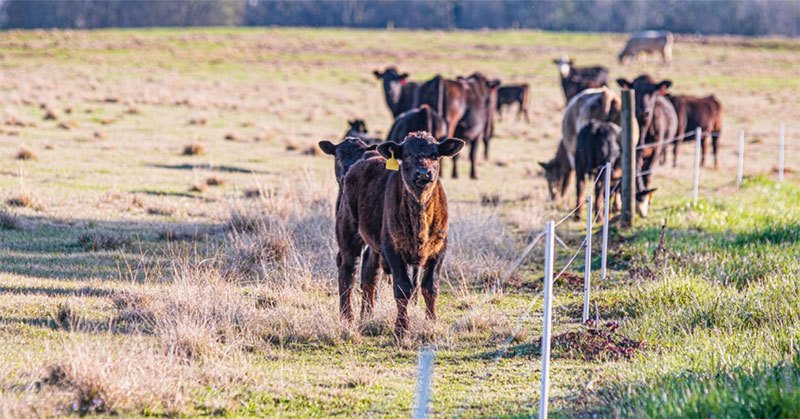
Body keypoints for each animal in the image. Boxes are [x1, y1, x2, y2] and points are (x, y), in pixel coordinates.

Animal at [336, 133, 462, 340]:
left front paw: (431, 323)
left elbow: (430, 287)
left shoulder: (439, 250)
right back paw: (347, 318)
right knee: (347, 272)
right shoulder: (393, 250)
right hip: (348, 234)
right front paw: (402, 330)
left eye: (435, 154)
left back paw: (367, 316)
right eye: (407, 154)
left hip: (374, 246)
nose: (423, 173)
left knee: (369, 272)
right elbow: (403, 289)